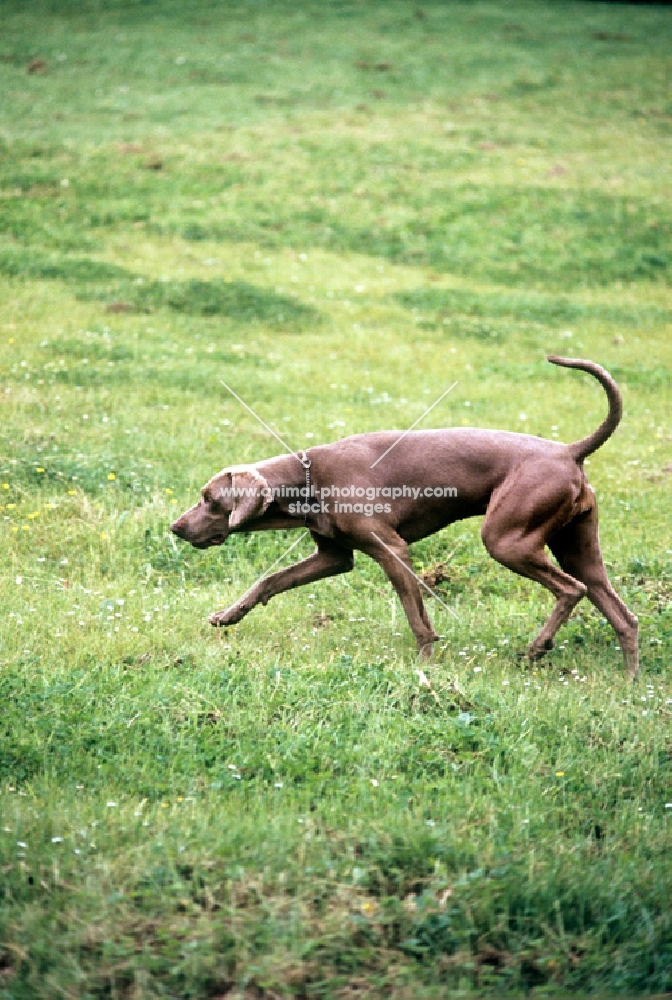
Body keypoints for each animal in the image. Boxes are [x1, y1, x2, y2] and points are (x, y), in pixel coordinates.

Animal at [171, 356, 636, 676]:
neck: (307, 477)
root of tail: (568, 451)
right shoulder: (334, 557)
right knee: (622, 616)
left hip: (506, 541)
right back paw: (630, 684)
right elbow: (270, 580)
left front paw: (426, 664)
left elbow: (417, 617)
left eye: (208, 498)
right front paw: (228, 615)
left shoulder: (392, 550)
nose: (174, 528)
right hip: (577, 547)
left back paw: (538, 647)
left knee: (571, 589)